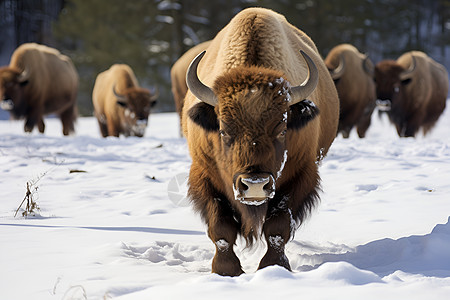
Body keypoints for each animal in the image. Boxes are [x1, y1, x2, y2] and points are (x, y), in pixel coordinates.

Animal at [182, 7, 338, 276]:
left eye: (282, 129)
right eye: (223, 130)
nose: (255, 185)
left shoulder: (301, 175)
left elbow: (278, 227)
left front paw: (274, 266)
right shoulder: (204, 174)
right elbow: (221, 227)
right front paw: (226, 270)